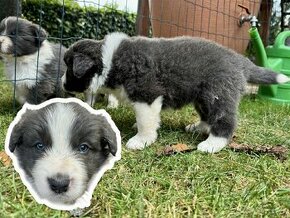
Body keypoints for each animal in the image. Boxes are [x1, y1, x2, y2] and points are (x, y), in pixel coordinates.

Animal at [61, 32, 290, 153]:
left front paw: (140, 140)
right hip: (202, 97)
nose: (62, 83)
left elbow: (146, 122)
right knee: (207, 115)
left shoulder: (147, 95)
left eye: (69, 67)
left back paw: (212, 144)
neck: (110, 60)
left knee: (224, 120)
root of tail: (240, 60)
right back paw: (198, 127)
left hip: (219, 93)